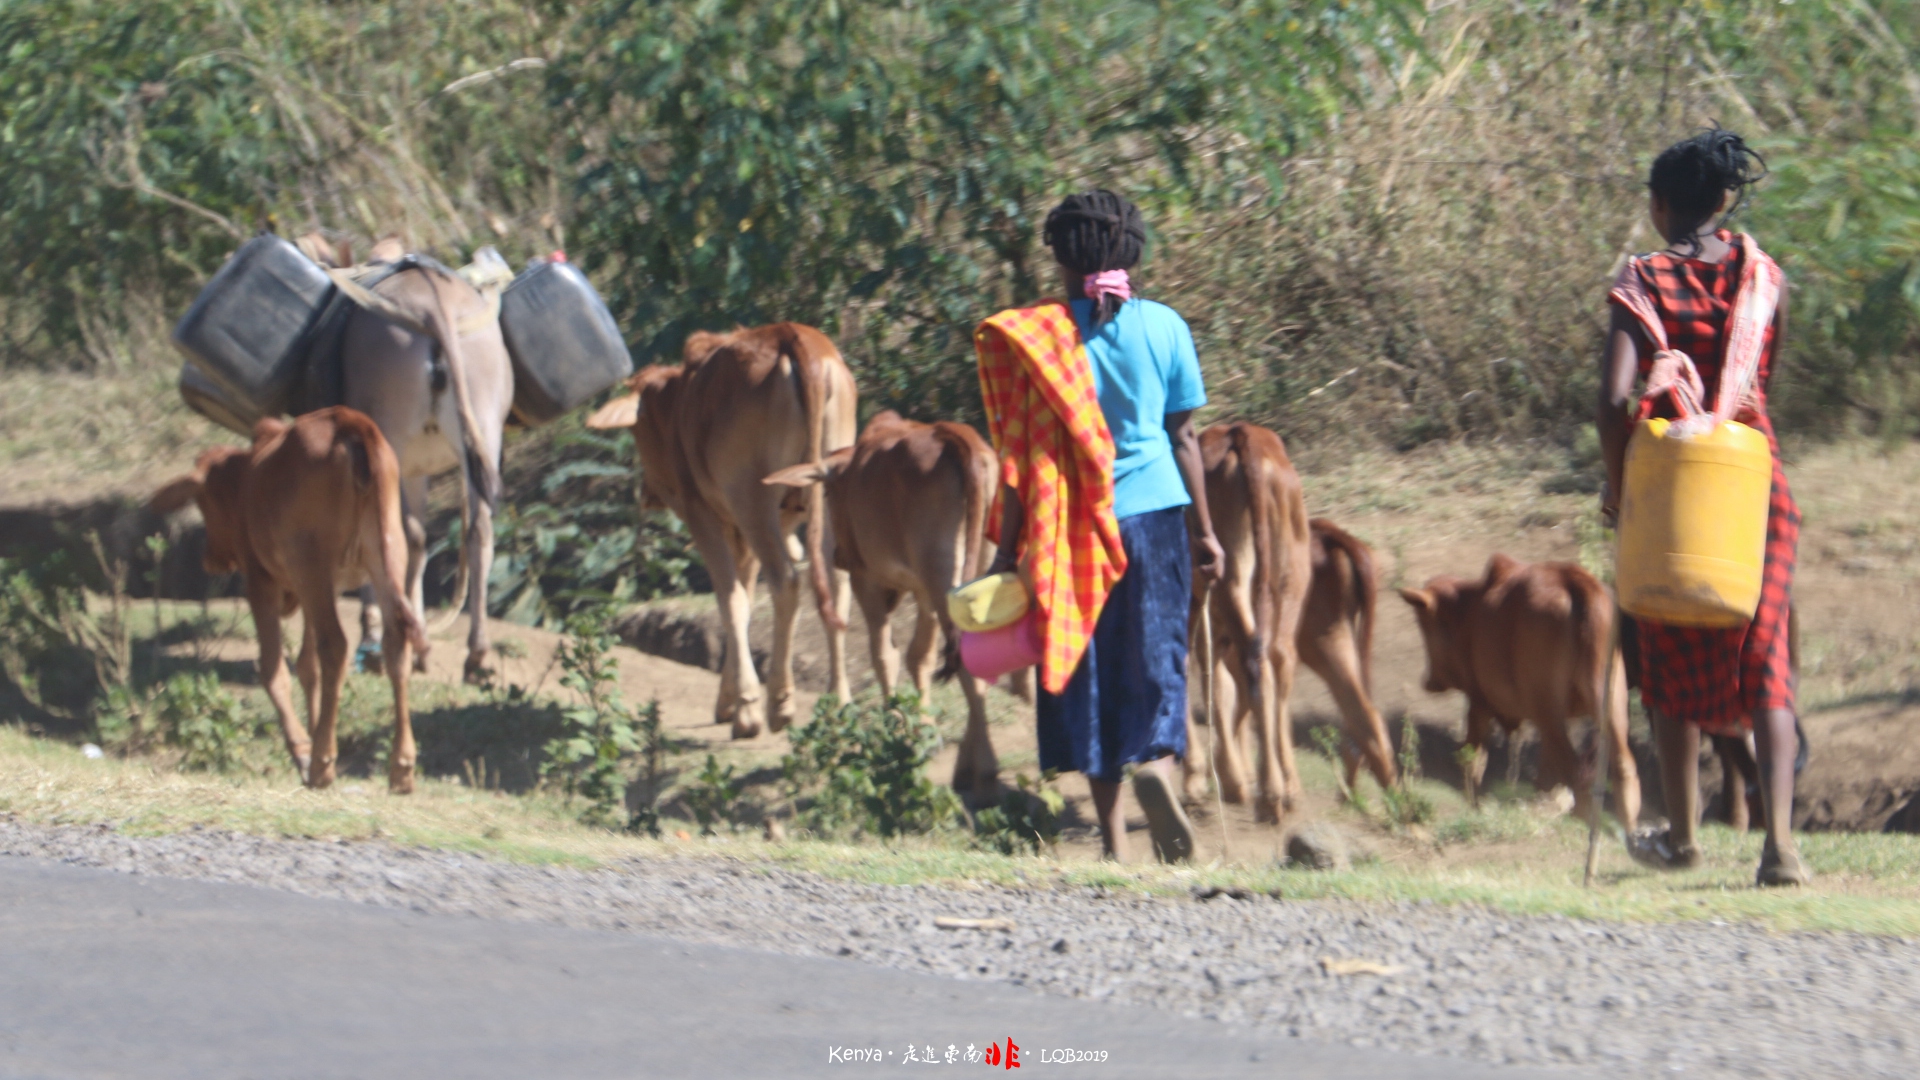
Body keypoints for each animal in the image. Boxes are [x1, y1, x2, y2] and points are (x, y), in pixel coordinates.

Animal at [146, 407, 428, 787]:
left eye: (203, 502)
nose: (211, 559)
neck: (245, 477)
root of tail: (349, 422)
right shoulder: (318, 587)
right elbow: (308, 667)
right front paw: (312, 730)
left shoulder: (261, 581)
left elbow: (273, 669)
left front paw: (302, 748)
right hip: (385, 553)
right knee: (394, 641)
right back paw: (401, 765)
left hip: (312, 562)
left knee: (336, 644)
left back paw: (322, 761)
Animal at [583, 322, 856, 734]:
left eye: (638, 429)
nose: (647, 493)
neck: (678, 400)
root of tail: (790, 335)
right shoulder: (749, 528)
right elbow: (744, 592)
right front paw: (729, 698)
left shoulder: (705, 517)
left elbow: (732, 601)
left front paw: (744, 707)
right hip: (820, 492)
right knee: (836, 585)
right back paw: (839, 701)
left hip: (753, 500)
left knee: (785, 582)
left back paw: (779, 703)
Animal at [764, 407, 1006, 795]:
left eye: (828, 493)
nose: (838, 556)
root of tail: (951, 435)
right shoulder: (922, 591)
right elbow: (918, 657)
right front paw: (922, 726)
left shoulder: (869, 581)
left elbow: (884, 656)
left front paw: (898, 727)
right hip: (971, 570)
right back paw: (969, 761)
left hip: (941, 575)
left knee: (968, 662)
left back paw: (981, 767)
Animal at [1397, 553, 1635, 822]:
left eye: (1425, 626)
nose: (1428, 681)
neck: (1469, 610)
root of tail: (1578, 582)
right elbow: (1544, 775)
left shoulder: (1479, 703)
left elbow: (1473, 763)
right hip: (1609, 702)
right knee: (1622, 768)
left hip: (1547, 710)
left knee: (1576, 771)